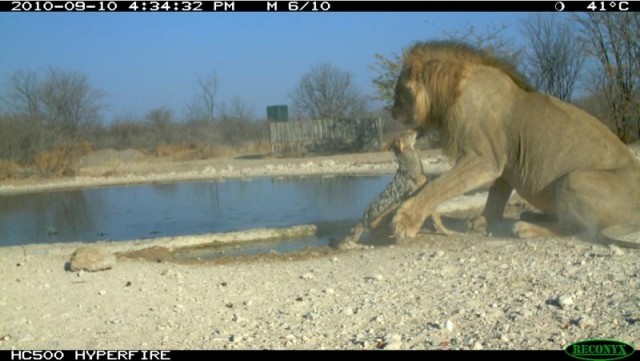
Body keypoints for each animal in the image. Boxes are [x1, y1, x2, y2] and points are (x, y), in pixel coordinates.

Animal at [388, 41, 640, 245]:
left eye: (398, 91)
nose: (391, 112)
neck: (448, 91)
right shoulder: (505, 161)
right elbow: (495, 196)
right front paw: (481, 221)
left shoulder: (484, 159)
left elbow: (438, 185)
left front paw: (405, 221)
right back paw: (531, 216)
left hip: (574, 178)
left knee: (573, 227)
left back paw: (527, 227)